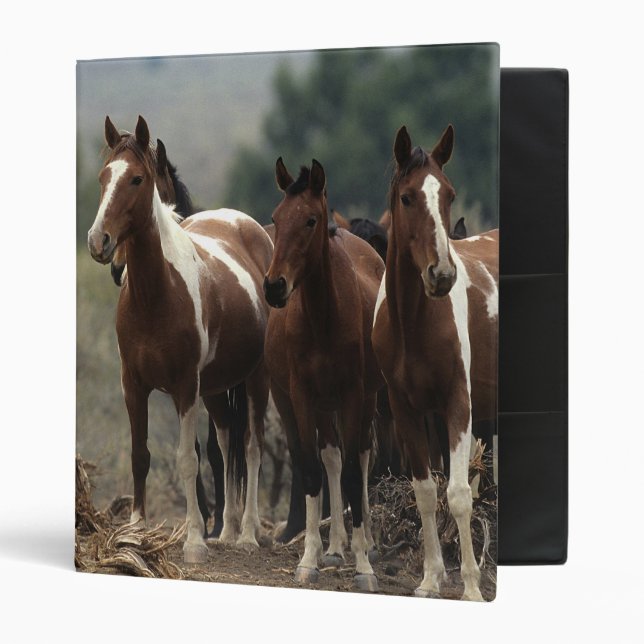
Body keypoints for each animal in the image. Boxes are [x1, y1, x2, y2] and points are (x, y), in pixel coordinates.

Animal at [87, 115, 273, 562]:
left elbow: (189, 459)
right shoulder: (133, 385)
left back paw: (247, 534)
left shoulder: (185, 387)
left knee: (251, 445)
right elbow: (140, 455)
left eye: (137, 179)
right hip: (217, 388)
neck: (156, 295)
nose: (99, 242)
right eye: (104, 177)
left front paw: (192, 540)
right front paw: (135, 531)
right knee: (226, 440)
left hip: (255, 378)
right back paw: (226, 531)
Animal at [263, 158, 385, 591]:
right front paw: (309, 560)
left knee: (359, 459)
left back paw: (364, 545)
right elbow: (314, 470)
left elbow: (351, 473)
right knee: (331, 457)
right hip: (313, 404)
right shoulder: (301, 396)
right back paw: (333, 548)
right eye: (276, 217)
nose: (274, 286)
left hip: (364, 400)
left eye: (311, 220)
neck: (323, 317)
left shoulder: (353, 394)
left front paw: (364, 567)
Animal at [372, 125, 498, 601]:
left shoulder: (458, 405)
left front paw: (471, 586)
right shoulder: (406, 409)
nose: (441, 275)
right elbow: (426, 491)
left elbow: (460, 494)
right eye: (407, 197)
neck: (414, 322)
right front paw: (430, 578)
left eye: (449, 194)